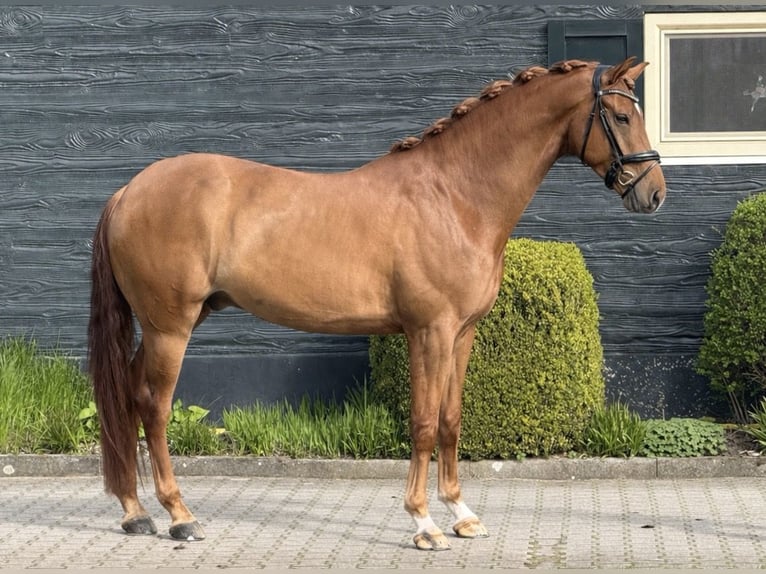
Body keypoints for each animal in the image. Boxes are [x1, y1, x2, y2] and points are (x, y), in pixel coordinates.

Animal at [88, 58, 665, 551]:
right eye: (620, 115)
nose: (654, 193)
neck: (454, 195)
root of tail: (128, 191)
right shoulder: (429, 331)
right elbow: (423, 423)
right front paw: (424, 523)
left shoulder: (462, 333)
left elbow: (451, 419)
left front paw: (461, 515)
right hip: (169, 327)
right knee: (154, 407)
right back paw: (180, 517)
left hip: (163, 325)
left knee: (127, 398)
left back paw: (135, 512)